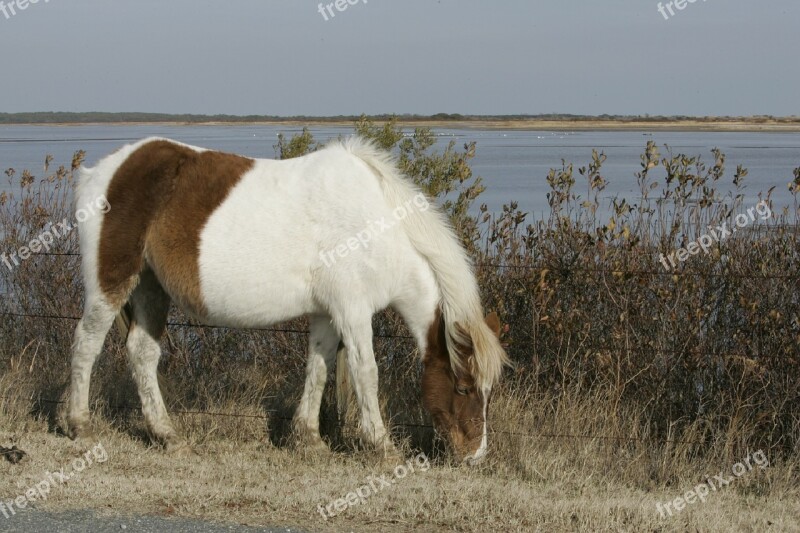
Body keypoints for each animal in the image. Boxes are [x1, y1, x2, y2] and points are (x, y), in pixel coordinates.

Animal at [67, 135, 506, 464]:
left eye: (487, 392)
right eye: (463, 388)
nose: (475, 455)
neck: (373, 225)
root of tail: (102, 171)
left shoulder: (327, 314)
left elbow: (319, 368)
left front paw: (307, 439)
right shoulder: (353, 310)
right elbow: (366, 372)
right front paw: (381, 447)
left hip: (150, 287)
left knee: (142, 353)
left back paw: (166, 435)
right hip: (112, 280)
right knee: (86, 343)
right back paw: (79, 425)